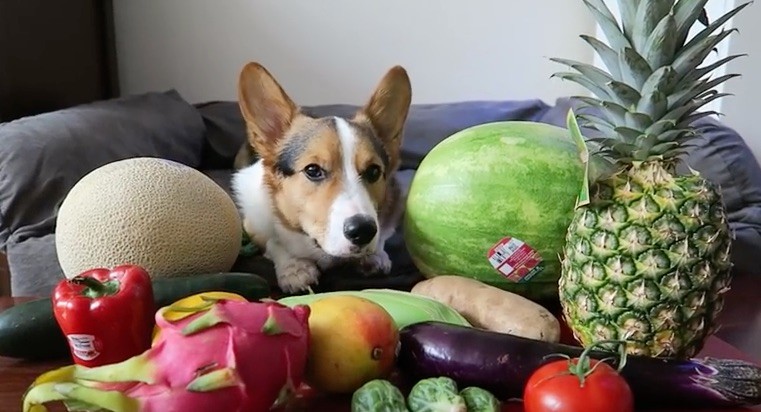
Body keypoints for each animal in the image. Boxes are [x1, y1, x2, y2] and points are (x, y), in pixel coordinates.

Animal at [230, 62, 412, 292]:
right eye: (313, 170)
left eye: (374, 171)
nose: (363, 230)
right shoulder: (254, 225)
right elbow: (273, 241)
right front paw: (294, 268)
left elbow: (383, 235)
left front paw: (374, 256)